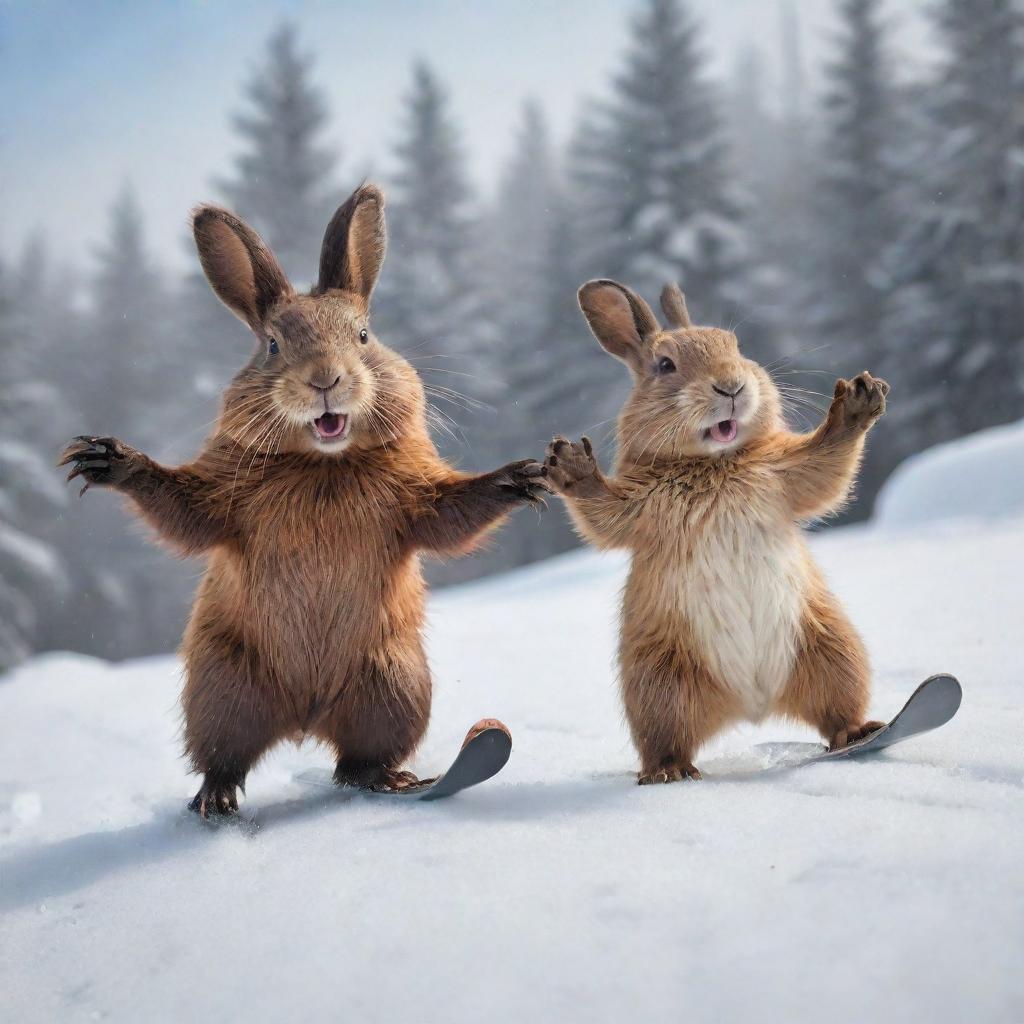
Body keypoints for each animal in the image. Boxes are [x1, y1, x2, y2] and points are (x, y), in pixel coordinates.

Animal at [59, 180, 548, 811]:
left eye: (363, 334)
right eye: (271, 345)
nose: (325, 379)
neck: (323, 467)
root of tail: (305, 717)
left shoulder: (413, 496)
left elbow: (451, 515)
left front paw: (526, 476)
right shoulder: (224, 494)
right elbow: (182, 510)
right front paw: (103, 458)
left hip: (392, 685)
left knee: (357, 763)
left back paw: (410, 779)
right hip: (224, 688)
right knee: (225, 759)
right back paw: (215, 802)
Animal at [544, 280, 888, 782]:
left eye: (736, 346)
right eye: (664, 364)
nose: (731, 386)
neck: (715, 465)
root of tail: (753, 707)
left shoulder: (787, 474)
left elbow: (828, 465)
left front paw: (859, 401)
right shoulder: (638, 508)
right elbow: (601, 513)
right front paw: (571, 464)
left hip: (833, 651)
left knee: (836, 715)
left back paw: (861, 733)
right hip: (659, 685)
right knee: (668, 742)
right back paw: (668, 772)